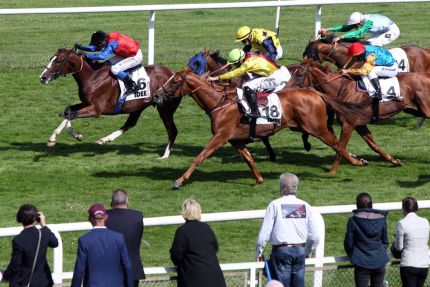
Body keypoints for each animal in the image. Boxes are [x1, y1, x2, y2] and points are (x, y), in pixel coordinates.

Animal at [37, 48, 182, 159]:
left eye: (58, 61)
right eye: (51, 58)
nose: (42, 77)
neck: (92, 76)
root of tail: (174, 74)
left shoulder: (96, 110)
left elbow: (71, 115)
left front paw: (52, 139)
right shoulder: (86, 103)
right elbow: (68, 111)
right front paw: (77, 135)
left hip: (165, 108)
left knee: (172, 131)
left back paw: (165, 155)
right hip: (139, 106)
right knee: (130, 124)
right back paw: (104, 139)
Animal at [153, 68, 368, 188]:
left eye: (174, 81)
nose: (156, 96)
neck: (219, 102)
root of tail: (314, 92)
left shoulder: (221, 136)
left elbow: (200, 157)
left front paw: (179, 181)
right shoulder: (236, 140)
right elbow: (249, 159)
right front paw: (259, 180)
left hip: (316, 128)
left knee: (338, 145)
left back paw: (356, 162)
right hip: (317, 126)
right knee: (337, 142)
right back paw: (354, 158)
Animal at [288, 59, 430, 173]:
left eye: (300, 74)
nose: (286, 89)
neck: (344, 90)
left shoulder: (348, 124)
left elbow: (340, 147)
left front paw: (332, 172)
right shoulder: (359, 124)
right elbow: (373, 145)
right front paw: (394, 161)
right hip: (414, 109)